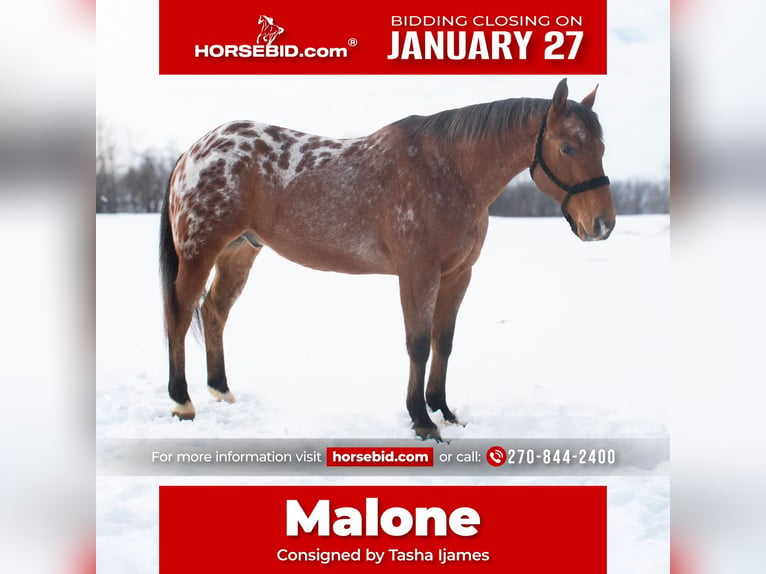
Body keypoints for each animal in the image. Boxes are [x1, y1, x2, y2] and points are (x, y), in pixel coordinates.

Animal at [159, 79, 616, 440]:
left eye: (601, 146)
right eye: (568, 147)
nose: (603, 224)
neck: (450, 171)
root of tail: (193, 151)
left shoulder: (458, 275)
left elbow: (444, 341)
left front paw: (443, 410)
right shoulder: (417, 273)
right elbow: (418, 344)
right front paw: (421, 420)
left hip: (238, 252)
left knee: (214, 312)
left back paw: (221, 390)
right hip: (199, 251)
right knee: (179, 314)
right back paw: (182, 401)